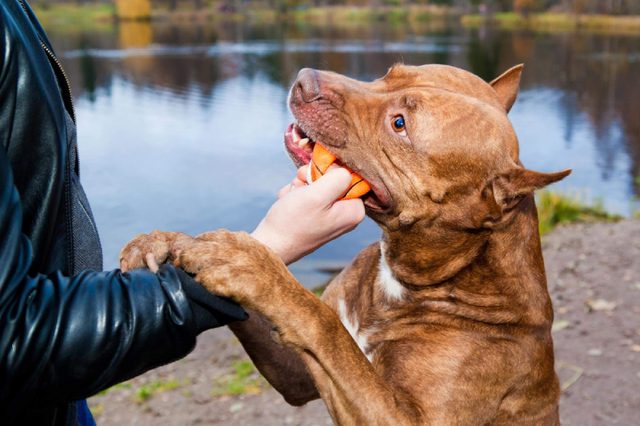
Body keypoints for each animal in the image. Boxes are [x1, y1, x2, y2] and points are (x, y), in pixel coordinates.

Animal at [121, 64, 568, 426]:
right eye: (389, 72)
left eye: (399, 123)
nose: (304, 80)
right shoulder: (298, 374)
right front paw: (166, 241)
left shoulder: (402, 415)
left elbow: (324, 323)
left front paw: (250, 264)